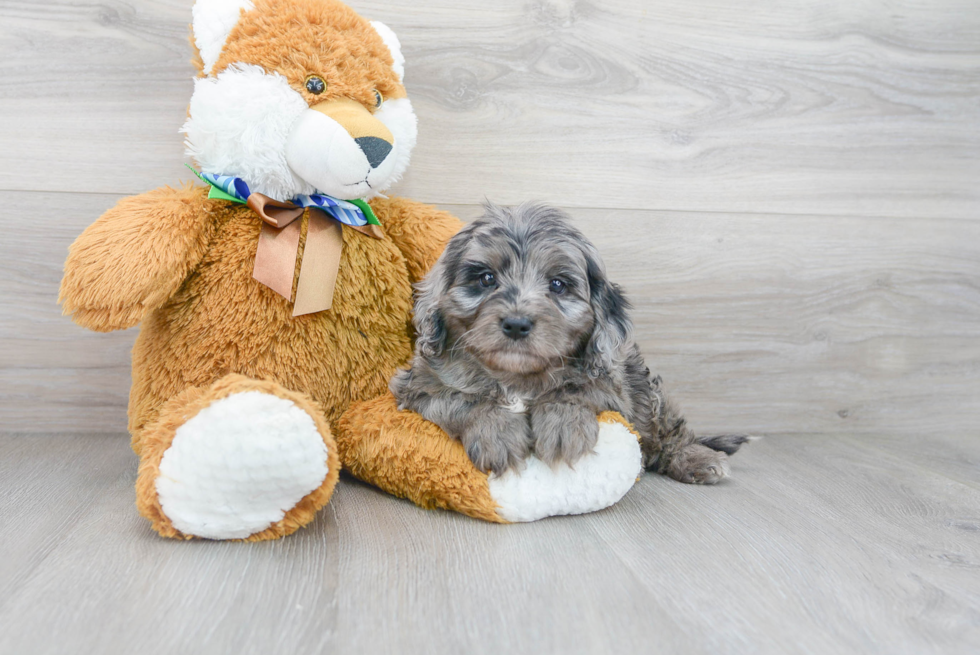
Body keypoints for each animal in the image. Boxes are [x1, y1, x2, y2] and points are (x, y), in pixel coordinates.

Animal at [390, 202, 752, 484]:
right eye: (486, 278)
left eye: (558, 284)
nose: (517, 324)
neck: (516, 377)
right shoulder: (417, 387)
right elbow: (461, 399)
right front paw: (497, 432)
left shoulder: (614, 387)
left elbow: (574, 389)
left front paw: (563, 427)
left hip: (645, 387)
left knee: (667, 430)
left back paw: (695, 457)